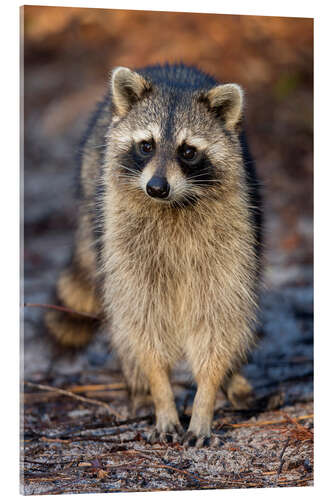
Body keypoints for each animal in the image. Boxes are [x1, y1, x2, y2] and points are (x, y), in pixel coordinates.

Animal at [45, 63, 260, 446]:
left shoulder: (230, 238)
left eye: (188, 151)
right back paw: (139, 387)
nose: (156, 188)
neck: (174, 204)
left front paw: (207, 396)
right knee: (121, 316)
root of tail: (166, 66)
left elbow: (220, 319)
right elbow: (142, 323)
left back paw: (234, 380)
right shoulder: (125, 240)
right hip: (96, 215)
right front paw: (160, 392)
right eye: (146, 146)